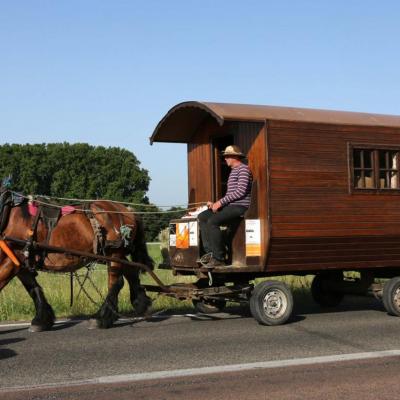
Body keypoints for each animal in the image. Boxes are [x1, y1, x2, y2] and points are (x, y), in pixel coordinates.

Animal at [0, 189, 153, 332]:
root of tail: (127, 210)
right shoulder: (20, 262)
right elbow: (32, 287)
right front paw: (41, 320)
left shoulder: (13, 258)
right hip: (113, 254)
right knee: (131, 271)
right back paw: (141, 303)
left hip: (114, 253)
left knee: (115, 283)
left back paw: (101, 318)